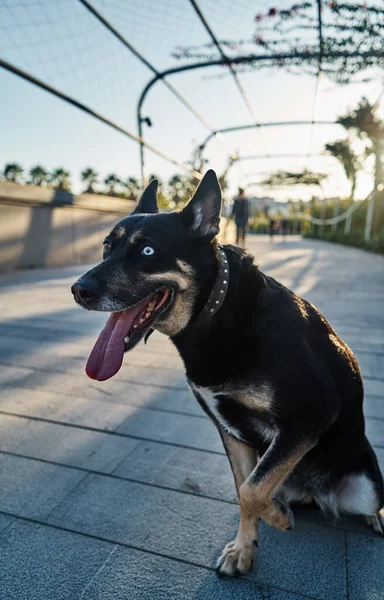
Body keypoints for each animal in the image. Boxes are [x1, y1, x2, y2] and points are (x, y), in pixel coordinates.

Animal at [72, 169, 384, 576]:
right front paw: (245, 548)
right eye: (107, 248)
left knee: (370, 501)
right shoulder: (231, 430)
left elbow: (251, 489)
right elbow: (245, 490)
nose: (78, 290)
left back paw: (372, 517)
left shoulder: (309, 416)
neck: (215, 312)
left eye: (147, 251)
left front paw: (274, 520)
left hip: (367, 485)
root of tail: (316, 493)